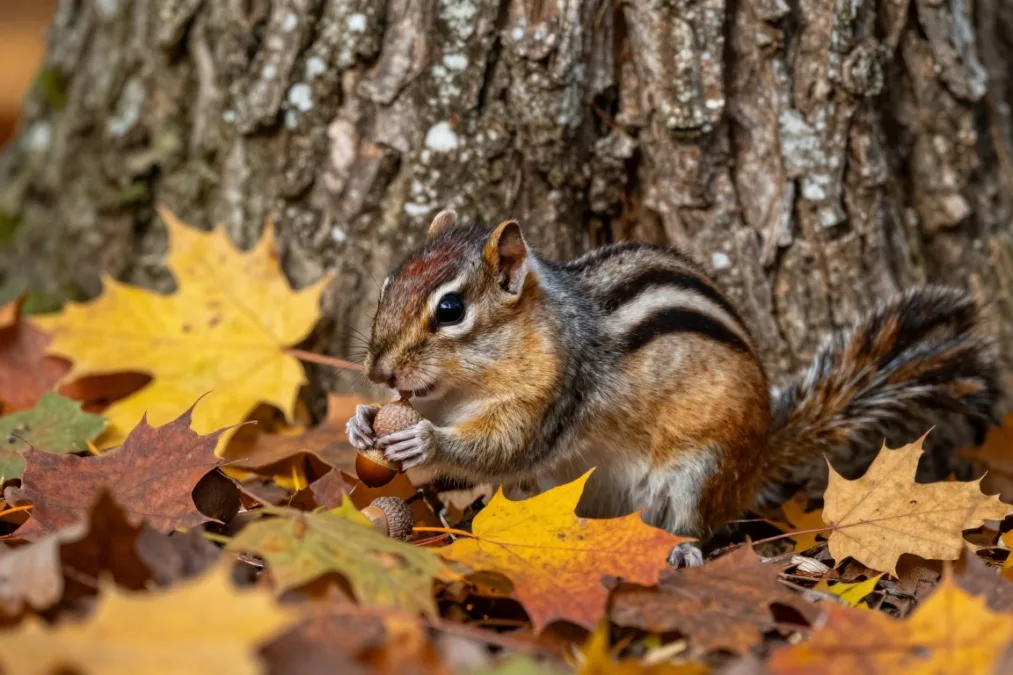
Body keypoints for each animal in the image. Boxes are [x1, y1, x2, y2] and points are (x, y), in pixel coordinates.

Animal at [346, 209, 1002, 560]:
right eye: (386, 284)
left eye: (451, 309)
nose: (378, 372)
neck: (468, 387)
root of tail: (757, 459)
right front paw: (363, 422)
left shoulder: (556, 393)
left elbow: (505, 447)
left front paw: (424, 441)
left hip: (700, 470)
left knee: (697, 522)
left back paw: (682, 548)